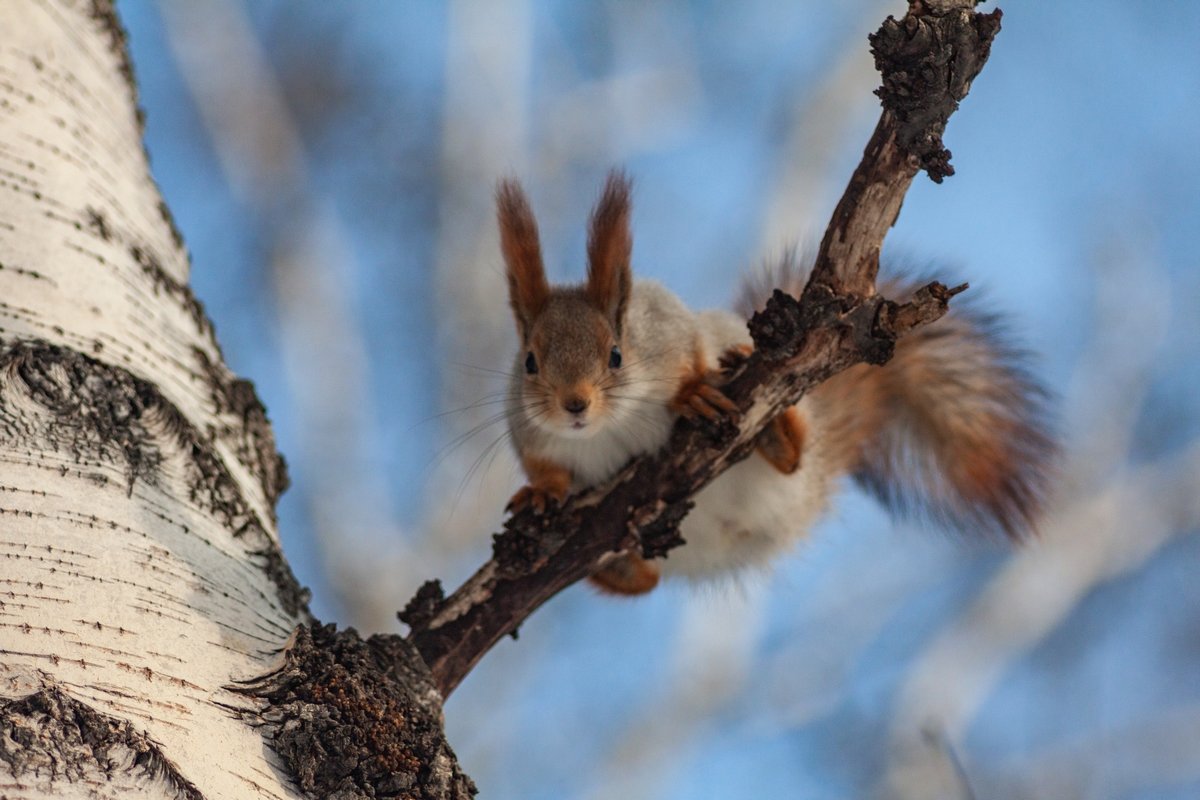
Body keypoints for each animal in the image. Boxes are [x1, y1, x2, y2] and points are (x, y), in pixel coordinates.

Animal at [496, 170, 1051, 594]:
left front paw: (691, 393)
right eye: (529, 363)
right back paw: (622, 566)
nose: (574, 405)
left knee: (792, 459)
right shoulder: (529, 433)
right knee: (643, 582)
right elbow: (543, 466)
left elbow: (688, 356)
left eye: (616, 355)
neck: (606, 431)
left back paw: (775, 434)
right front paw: (541, 492)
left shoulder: (671, 329)